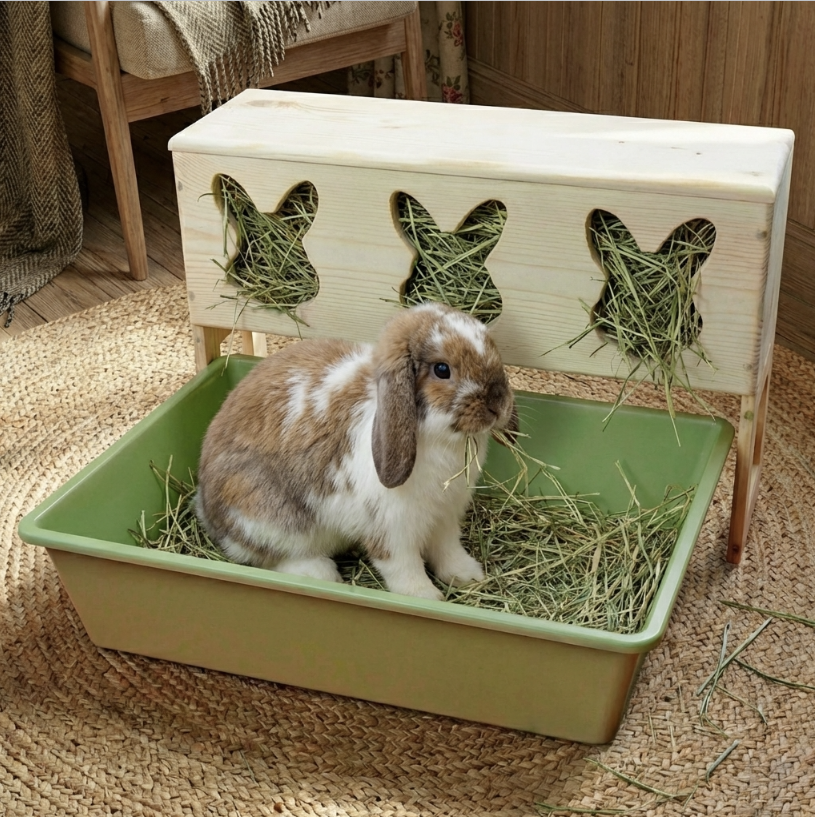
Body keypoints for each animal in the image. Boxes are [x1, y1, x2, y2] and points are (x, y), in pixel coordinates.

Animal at [194, 302, 518, 600]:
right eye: (442, 369)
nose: (498, 404)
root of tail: (206, 509)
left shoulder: (446, 516)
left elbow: (448, 550)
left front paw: (469, 576)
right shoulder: (391, 529)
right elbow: (403, 566)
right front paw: (425, 597)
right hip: (264, 516)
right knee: (264, 558)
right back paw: (320, 573)